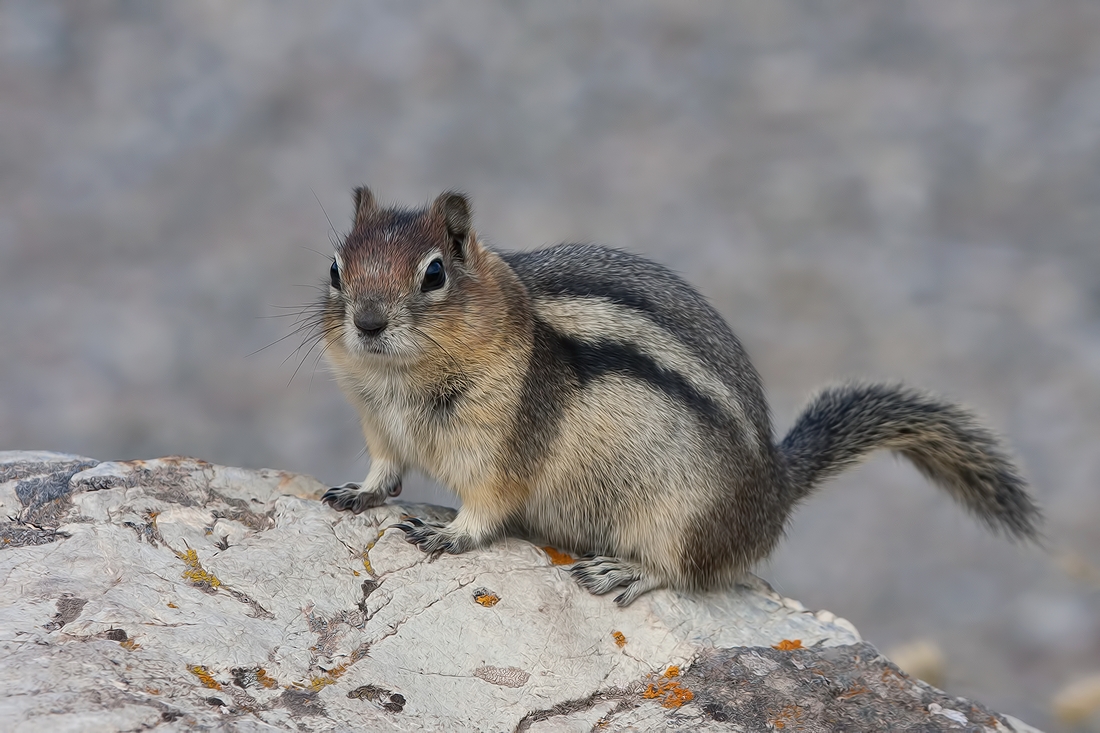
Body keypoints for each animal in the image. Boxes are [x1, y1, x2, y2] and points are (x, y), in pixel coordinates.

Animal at [312, 187, 1038, 603]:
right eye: (336, 268)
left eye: (434, 273)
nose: (367, 322)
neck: (400, 383)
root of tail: (774, 493)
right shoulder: (377, 425)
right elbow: (384, 472)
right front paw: (358, 493)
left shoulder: (505, 447)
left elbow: (489, 506)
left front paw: (452, 532)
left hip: (681, 518)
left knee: (691, 572)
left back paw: (628, 571)